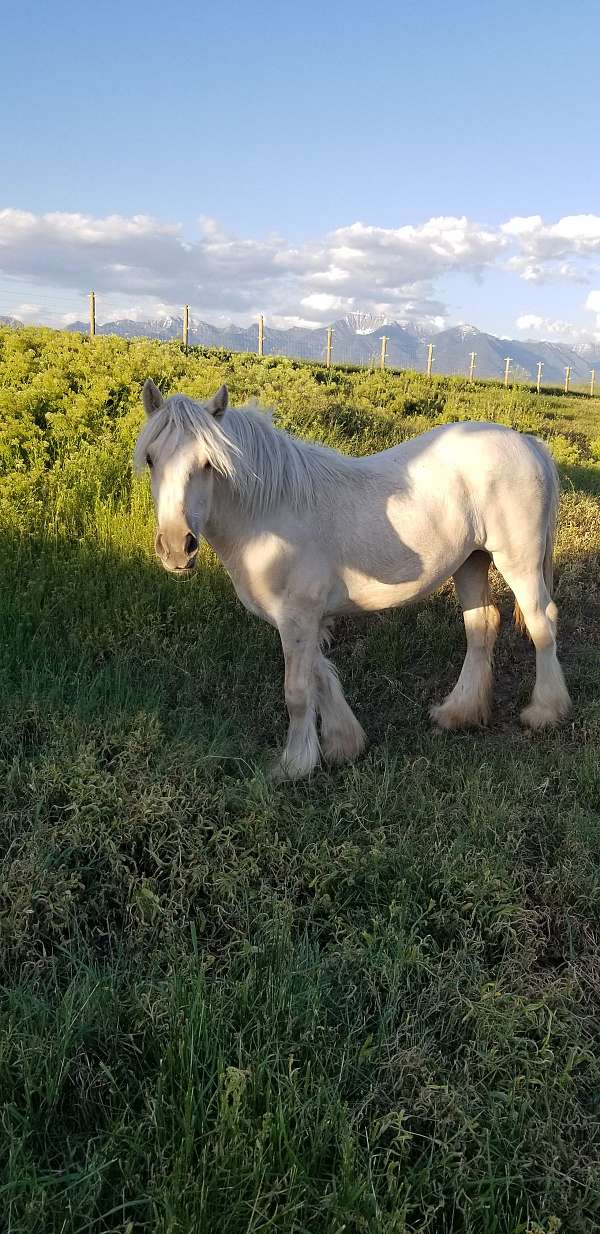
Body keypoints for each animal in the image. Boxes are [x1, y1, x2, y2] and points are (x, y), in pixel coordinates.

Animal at [134, 380, 572, 774]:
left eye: (208, 463)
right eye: (152, 459)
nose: (176, 547)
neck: (269, 512)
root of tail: (528, 442)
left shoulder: (298, 616)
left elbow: (297, 691)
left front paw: (294, 765)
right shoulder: (302, 619)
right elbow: (319, 675)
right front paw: (343, 743)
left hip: (518, 562)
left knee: (542, 623)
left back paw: (545, 711)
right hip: (471, 561)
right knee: (482, 627)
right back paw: (459, 712)